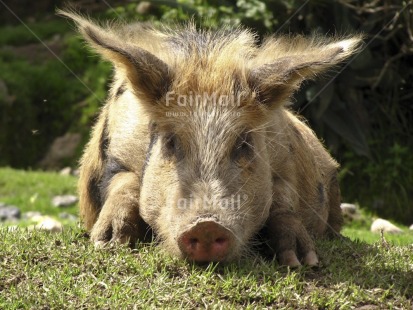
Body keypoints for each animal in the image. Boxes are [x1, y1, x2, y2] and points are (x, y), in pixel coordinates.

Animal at [59, 9, 362, 266]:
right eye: (171, 142)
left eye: (243, 143)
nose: (206, 225)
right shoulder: (117, 154)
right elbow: (127, 182)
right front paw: (108, 242)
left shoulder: (284, 165)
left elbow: (282, 199)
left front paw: (301, 260)